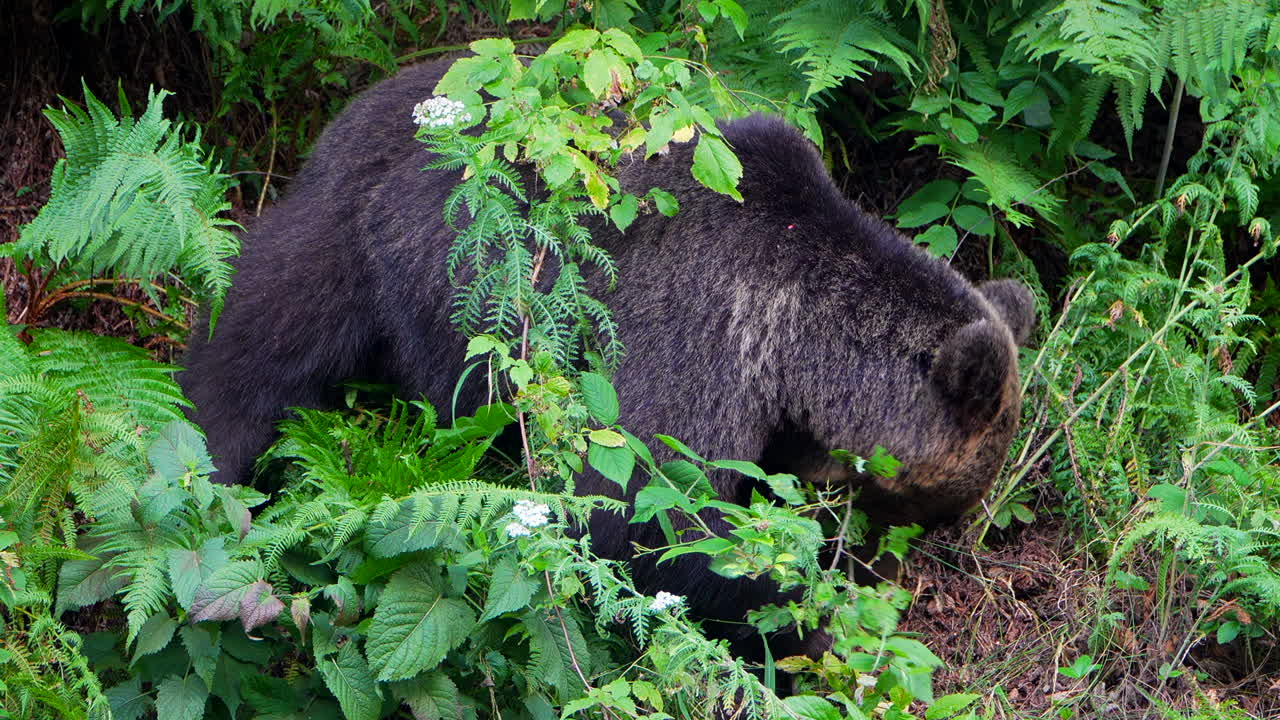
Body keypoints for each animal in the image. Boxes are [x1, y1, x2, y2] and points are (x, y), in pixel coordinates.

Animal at [180, 58, 1034, 659]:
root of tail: (357, 105)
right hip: (359, 241)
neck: (796, 343)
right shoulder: (686, 346)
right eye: (929, 504)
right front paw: (798, 616)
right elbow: (640, 516)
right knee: (252, 353)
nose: (888, 561)